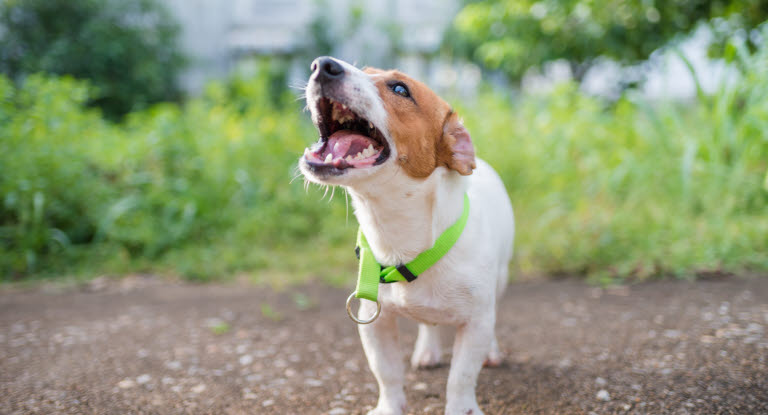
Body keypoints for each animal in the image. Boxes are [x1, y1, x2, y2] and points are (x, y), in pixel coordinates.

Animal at [300, 56, 516, 415]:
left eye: (400, 89)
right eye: (366, 71)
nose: (322, 64)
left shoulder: (476, 323)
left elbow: (460, 378)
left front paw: (461, 407)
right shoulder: (374, 321)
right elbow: (386, 372)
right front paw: (389, 407)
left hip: (499, 282)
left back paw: (493, 352)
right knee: (428, 326)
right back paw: (427, 351)